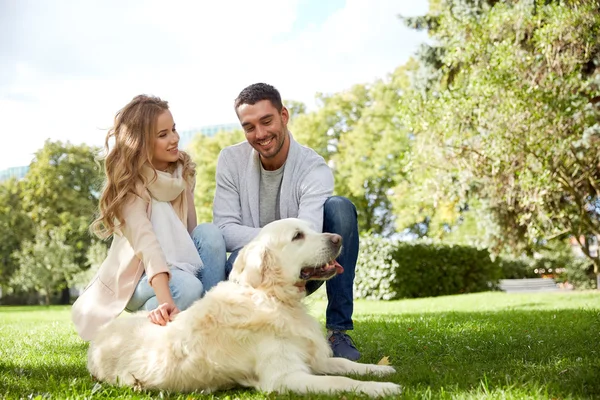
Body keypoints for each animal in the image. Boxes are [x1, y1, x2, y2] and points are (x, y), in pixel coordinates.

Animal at [86, 219, 400, 396]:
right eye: (298, 236)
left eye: (313, 229)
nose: (338, 238)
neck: (272, 298)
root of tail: (99, 336)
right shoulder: (285, 378)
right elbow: (341, 381)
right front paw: (381, 389)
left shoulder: (314, 359)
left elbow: (345, 365)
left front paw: (380, 370)